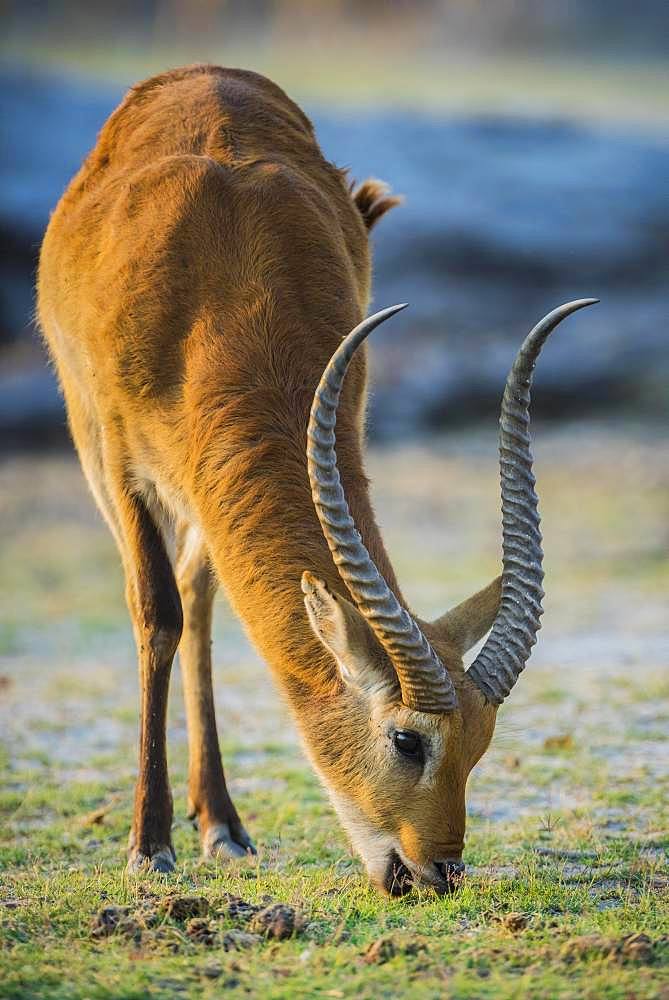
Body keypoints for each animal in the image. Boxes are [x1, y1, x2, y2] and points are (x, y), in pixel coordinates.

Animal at [36, 66, 596, 896]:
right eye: (407, 740)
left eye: (481, 742)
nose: (436, 872)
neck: (221, 286)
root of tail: (199, 75)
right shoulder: (112, 453)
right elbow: (154, 612)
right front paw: (147, 844)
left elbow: (192, 603)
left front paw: (203, 830)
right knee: (175, 602)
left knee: (202, 591)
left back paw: (223, 825)